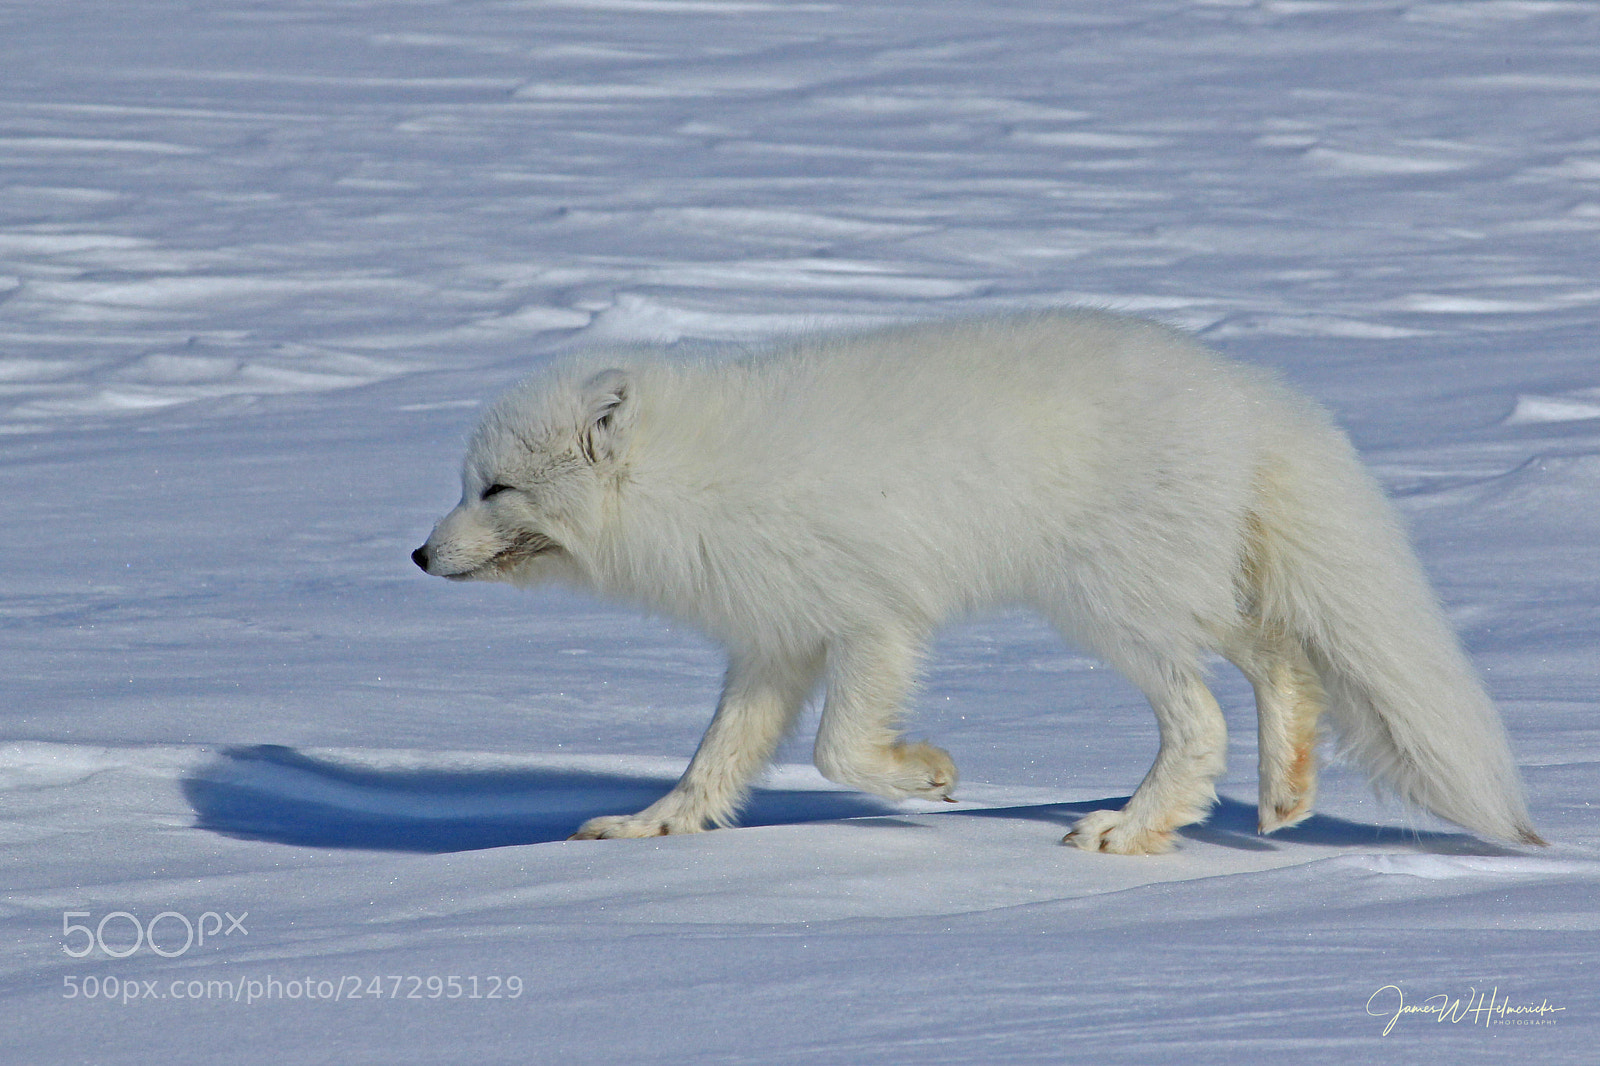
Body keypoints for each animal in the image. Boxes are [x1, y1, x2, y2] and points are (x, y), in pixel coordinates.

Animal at [412, 309, 1543, 853]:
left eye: (496, 489)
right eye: (465, 486)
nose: (418, 557)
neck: (689, 480)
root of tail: (1247, 391)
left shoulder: (875, 619)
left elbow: (837, 750)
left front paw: (927, 776)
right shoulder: (774, 641)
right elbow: (714, 762)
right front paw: (650, 829)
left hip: (1112, 607)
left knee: (1204, 717)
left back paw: (1131, 830)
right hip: (1180, 594)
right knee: (1279, 663)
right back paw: (1281, 796)